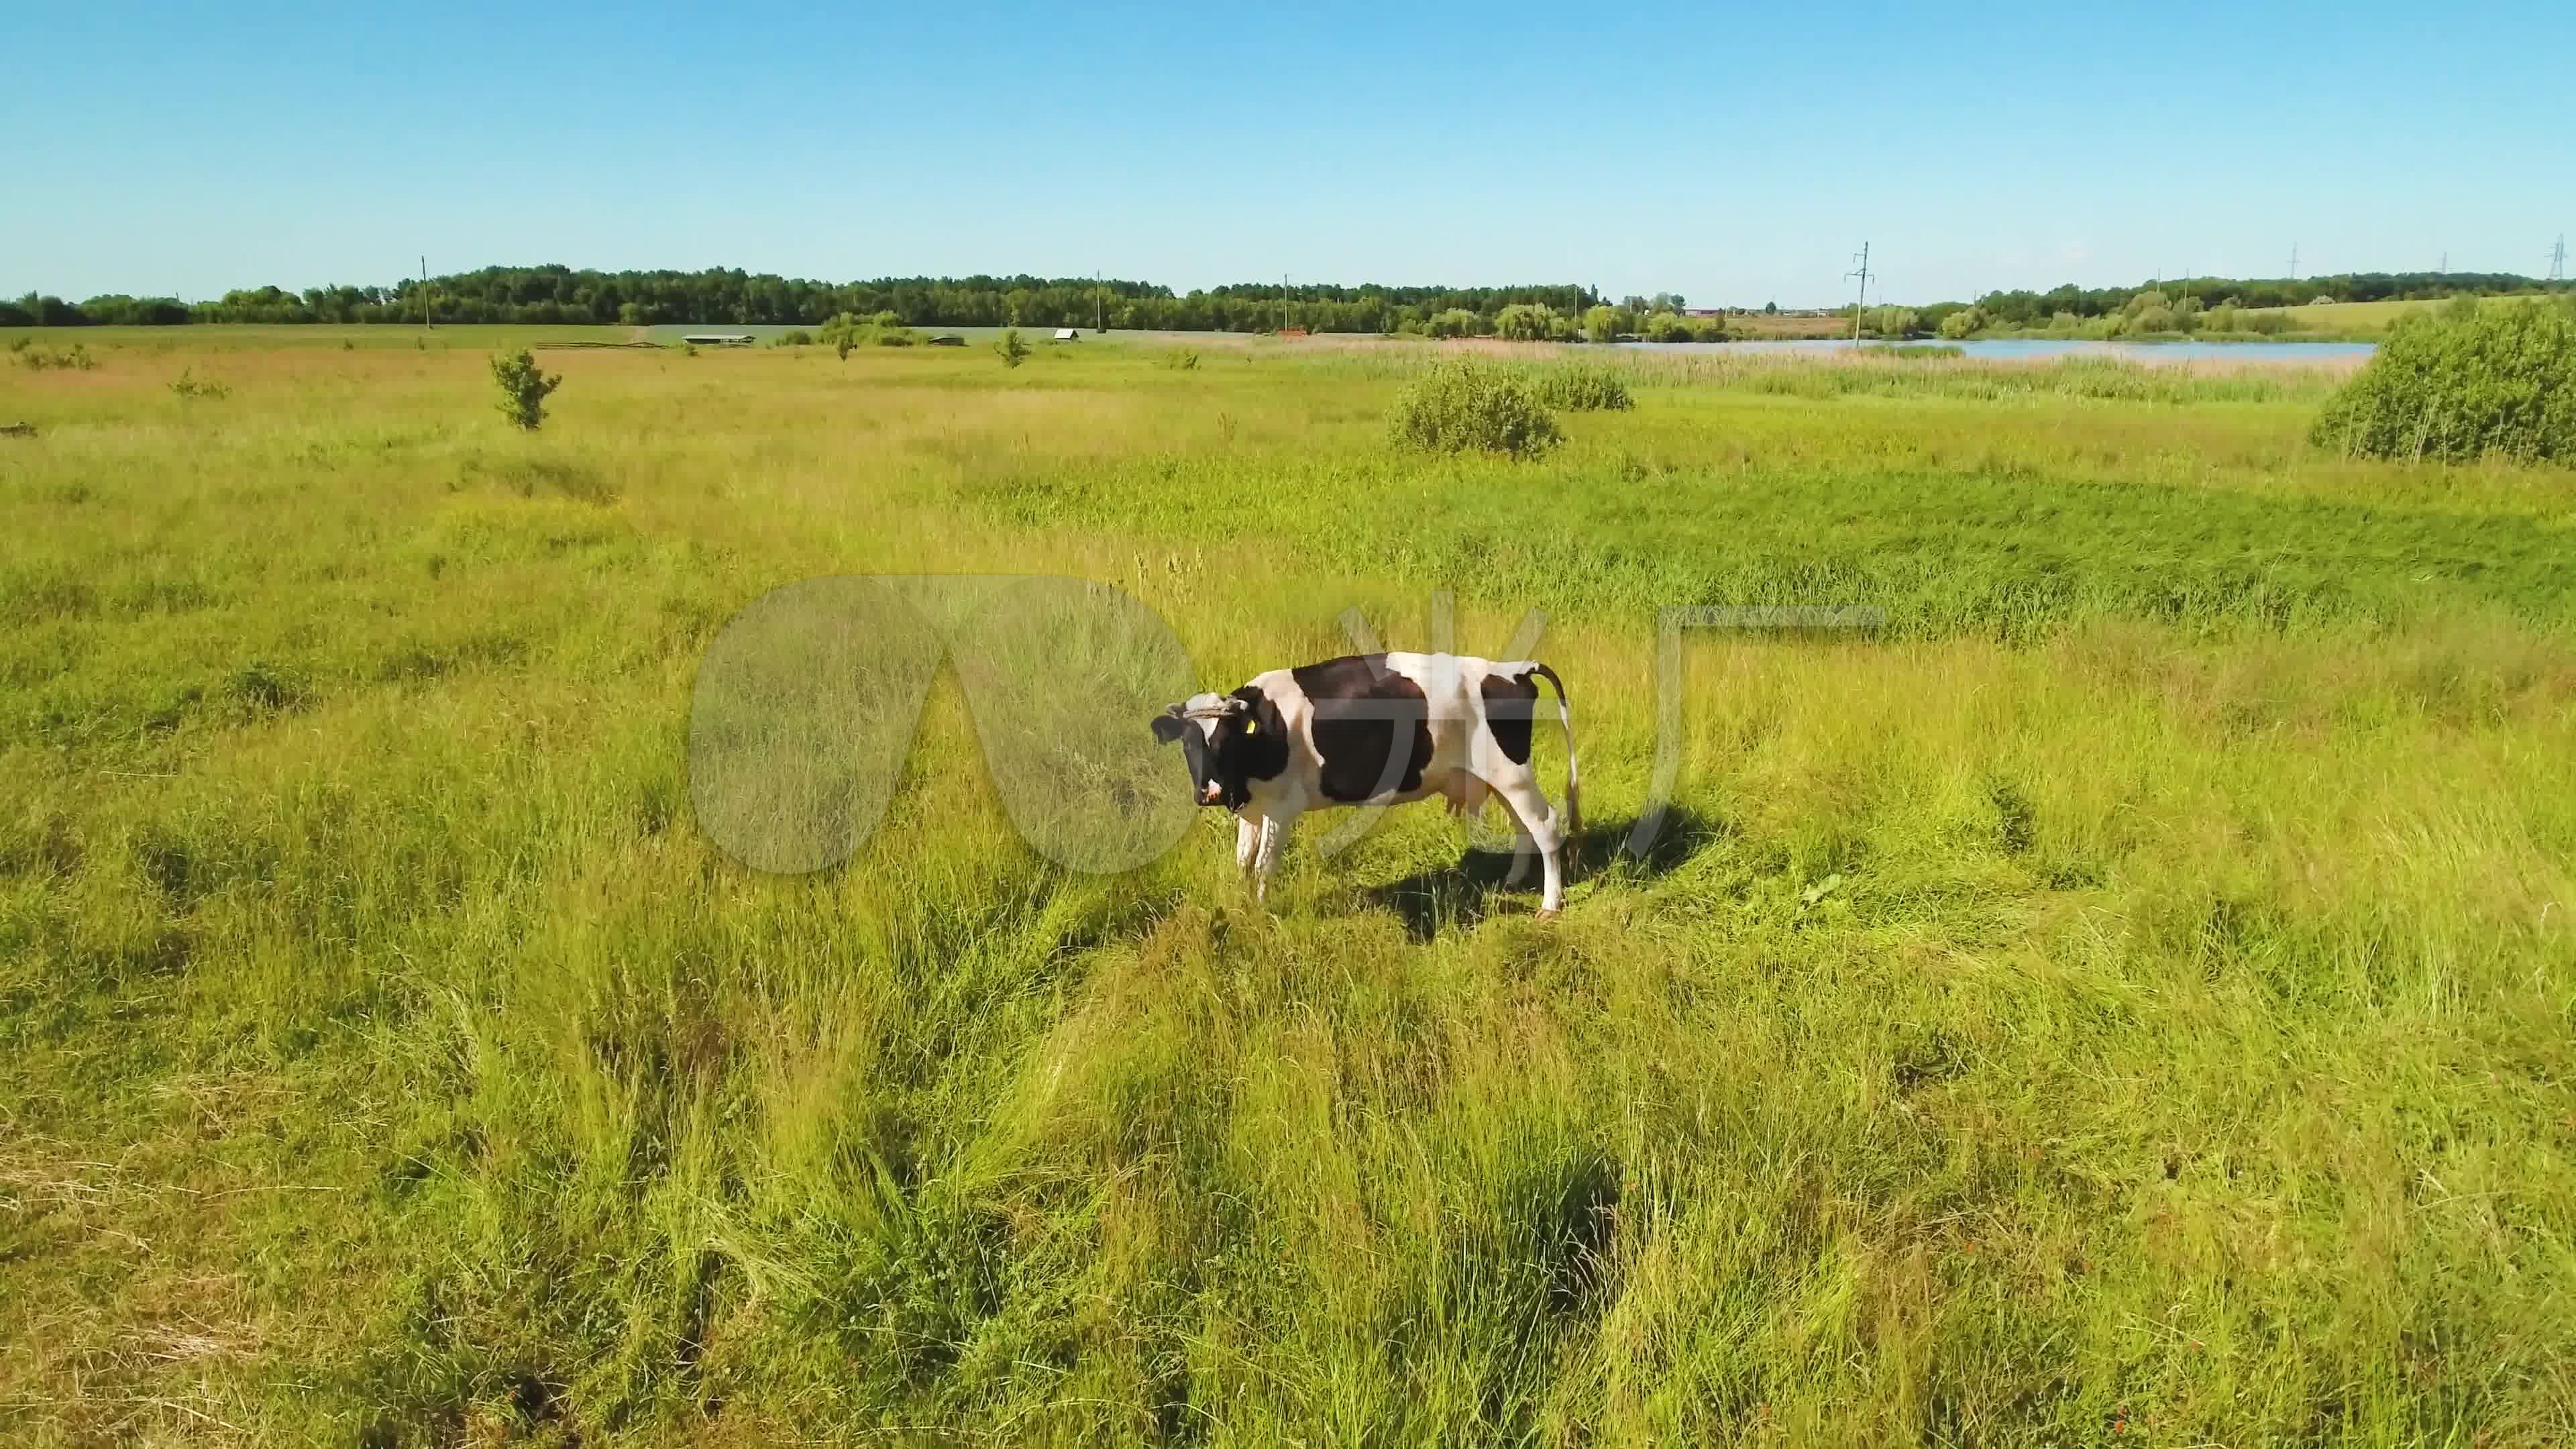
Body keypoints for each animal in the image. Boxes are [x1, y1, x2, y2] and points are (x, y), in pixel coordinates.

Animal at [1154, 652, 1587, 912]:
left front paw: (1261, 912)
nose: (1208, 792)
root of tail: (1513, 669)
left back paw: (1551, 904)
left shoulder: (1281, 809)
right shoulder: (1252, 809)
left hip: (1512, 774)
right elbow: (1243, 861)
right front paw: (1241, 903)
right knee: (1523, 825)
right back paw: (1513, 882)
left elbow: (1264, 865)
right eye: (1189, 743)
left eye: (1225, 739)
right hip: (1500, 780)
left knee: (1546, 824)